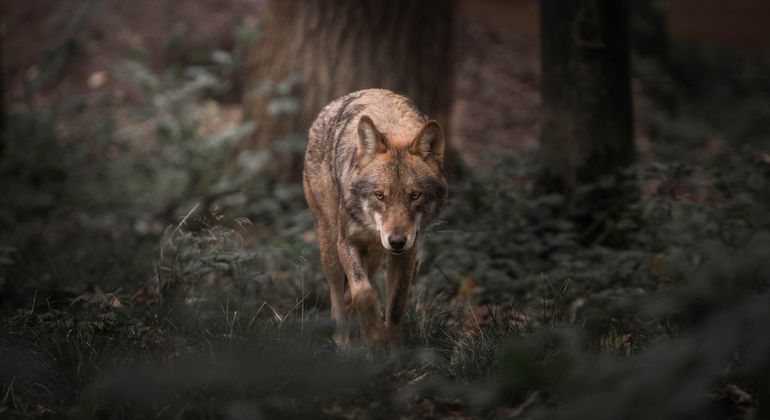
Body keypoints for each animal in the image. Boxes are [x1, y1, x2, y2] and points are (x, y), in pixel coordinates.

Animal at [303, 89, 448, 352]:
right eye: (380, 195)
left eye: (415, 195)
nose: (397, 241)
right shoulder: (347, 242)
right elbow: (363, 292)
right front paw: (375, 338)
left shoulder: (407, 252)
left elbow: (396, 305)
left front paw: (391, 350)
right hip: (330, 243)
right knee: (337, 294)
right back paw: (343, 341)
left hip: (375, 254)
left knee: (353, 288)